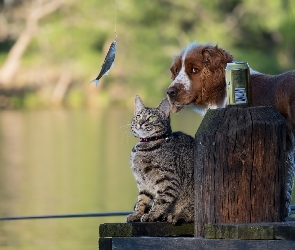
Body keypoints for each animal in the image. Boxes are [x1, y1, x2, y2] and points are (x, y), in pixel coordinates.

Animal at [126, 95, 195, 225]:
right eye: (138, 116)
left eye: (151, 118)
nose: (141, 123)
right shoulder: (143, 184)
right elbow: (141, 200)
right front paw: (137, 214)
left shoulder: (168, 181)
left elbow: (160, 201)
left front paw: (151, 215)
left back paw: (176, 216)